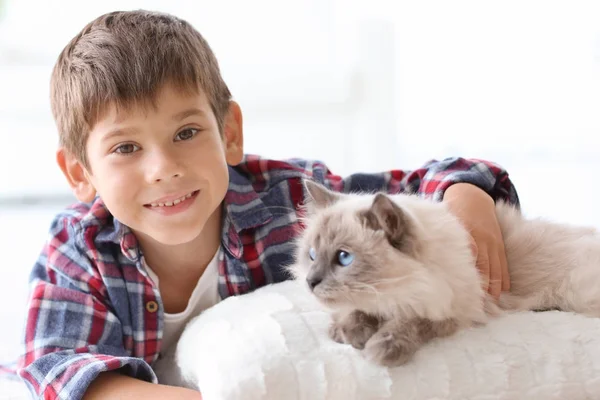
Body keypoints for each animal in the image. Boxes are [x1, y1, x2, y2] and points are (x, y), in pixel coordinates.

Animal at [286, 180, 600, 368]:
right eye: (311, 256)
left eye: (344, 257)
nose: (311, 282)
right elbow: (355, 312)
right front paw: (346, 332)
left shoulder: (451, 309)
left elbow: (410, 322)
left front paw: (380, 349)